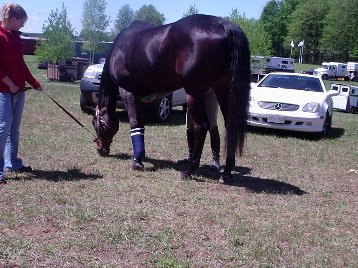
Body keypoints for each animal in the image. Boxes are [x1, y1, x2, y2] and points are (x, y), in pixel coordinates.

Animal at [93, 14, 250, 182]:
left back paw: (189, 170)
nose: (100, 149)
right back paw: (226, 173)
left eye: (95, 123)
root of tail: (222, 24)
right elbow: (140, 125)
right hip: (223, 90)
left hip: (195, 93)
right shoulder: (143, 97)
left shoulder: (127, 91)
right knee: (230, 125)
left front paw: (137, 162)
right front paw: (140, 156)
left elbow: (134, 123)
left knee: (202, 126)